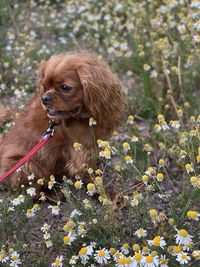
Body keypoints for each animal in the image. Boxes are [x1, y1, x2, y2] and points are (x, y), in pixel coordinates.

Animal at [0, 51, 125, 195]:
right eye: (45, 87)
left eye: (65, 88)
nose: (45, 98)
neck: (82, 117)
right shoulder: (81, 154)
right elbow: (93, 178)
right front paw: (108, 195)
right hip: (28, 166)